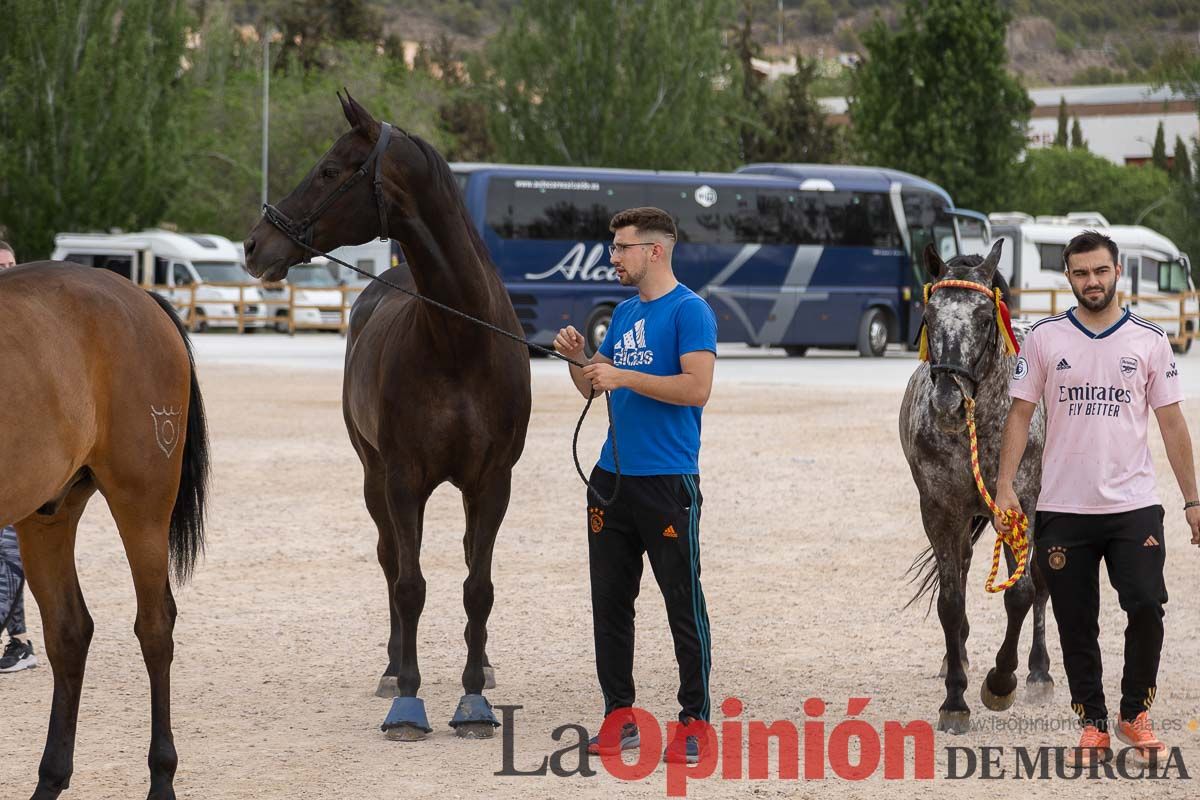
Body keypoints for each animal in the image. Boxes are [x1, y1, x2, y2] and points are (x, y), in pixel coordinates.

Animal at [0, 260, 210, 796]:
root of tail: (137, 293)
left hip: (142, 503)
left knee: (155, 627)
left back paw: (161, 778)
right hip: (48, 513)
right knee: (69, 631)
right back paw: (50, 779)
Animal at [241, 92, 528, 738]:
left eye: (329, 170)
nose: (253, 245)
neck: (459, 341)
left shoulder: (492, 481)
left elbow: (478, 586)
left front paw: (474, 700)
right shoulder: (401, 479)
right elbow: (409, 583)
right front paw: (408, 700)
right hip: (374, 478)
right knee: (391, 559)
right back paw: (394, 670)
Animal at [902, 241, 1051, 734]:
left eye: (985, 318)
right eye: (929, 315)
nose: (948, 400)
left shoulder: (1021, 503)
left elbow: (1022, 592)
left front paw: (1001, 682)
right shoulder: (941, 511)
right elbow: (951, 601)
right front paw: (955, 698)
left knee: (1043, 582)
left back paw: (1039, 672)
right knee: (965, 571)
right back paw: (960, 658)